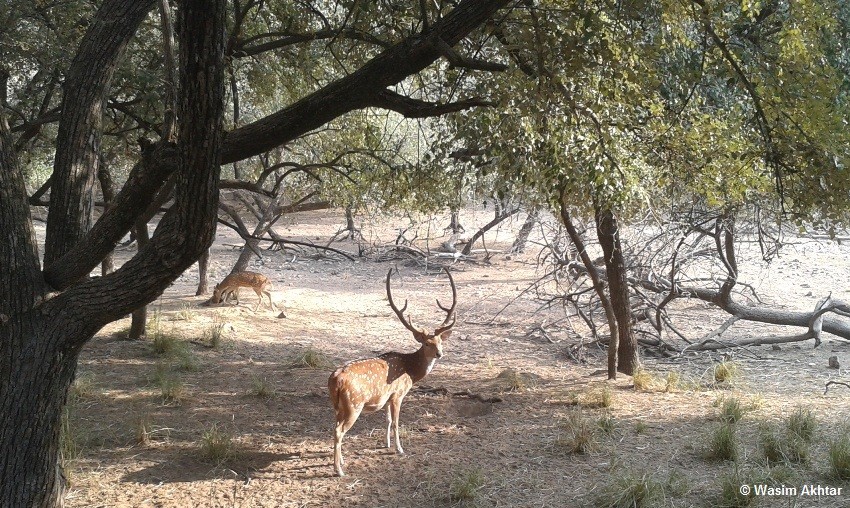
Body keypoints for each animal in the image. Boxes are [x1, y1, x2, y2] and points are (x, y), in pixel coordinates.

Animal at [328, 267, 457, 477]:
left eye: (440, 341)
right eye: (426, 343)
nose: (439, 353)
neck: (411, 371)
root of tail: (335, 380)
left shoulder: (387, 397)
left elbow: (387, 420)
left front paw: (387, 444)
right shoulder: (397, 394)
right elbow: (396, 422)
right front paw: (400, 449)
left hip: (337, 405)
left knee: (335, 426)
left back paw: (342, 461)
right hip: (354, 404)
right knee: (339, 430)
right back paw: (339, 470)